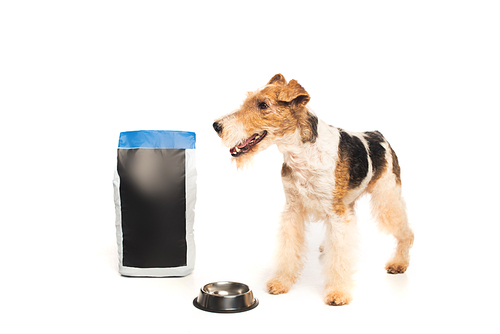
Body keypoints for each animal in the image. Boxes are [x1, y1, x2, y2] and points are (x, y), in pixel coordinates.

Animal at [213, 73, 412, 306]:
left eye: (263, 105)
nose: (216, 126)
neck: (300, 153)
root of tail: (378, 135)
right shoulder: (293, 209)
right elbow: (289, 249)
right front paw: (281, 282)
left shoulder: (336, 212)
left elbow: (340, 255)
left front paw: (338, 293)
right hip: (350, 202)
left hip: (387, 197)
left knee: (405, 232)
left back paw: (399, 263)